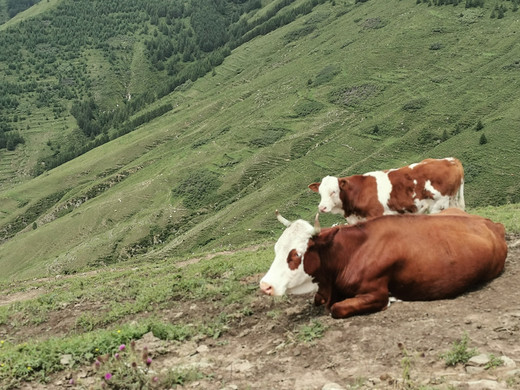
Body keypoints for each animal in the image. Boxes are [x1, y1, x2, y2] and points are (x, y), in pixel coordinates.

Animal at [260, 209, 508, 318]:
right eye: (276, 248)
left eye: (295, 254)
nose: (265, 285)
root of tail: (492, 223)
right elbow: (318, 300)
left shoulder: (376, 292)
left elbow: (336, 308)